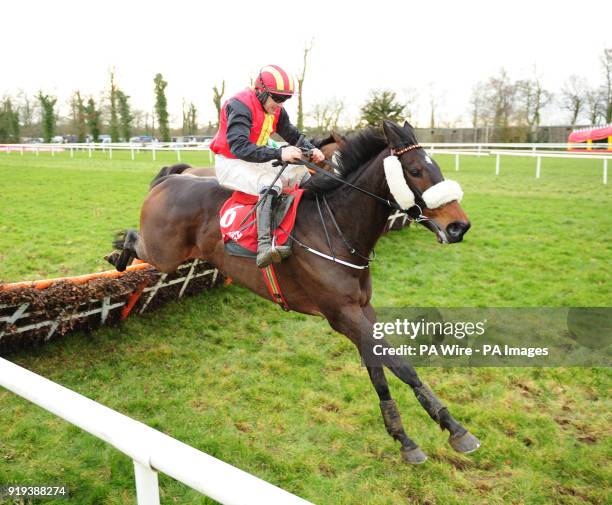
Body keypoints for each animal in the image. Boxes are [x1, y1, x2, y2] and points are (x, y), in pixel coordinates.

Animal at [112, 120, 480, 462]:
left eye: (437, 166)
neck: (335, 228)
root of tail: (170, 179)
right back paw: (118, 255)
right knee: (133, 239)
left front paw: (408, 436)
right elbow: (401, 366)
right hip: (164, 253)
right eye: (415, 171)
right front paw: (452, 429)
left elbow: (378, 368)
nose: (458, 226)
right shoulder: (341, 315)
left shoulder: (363, 310)